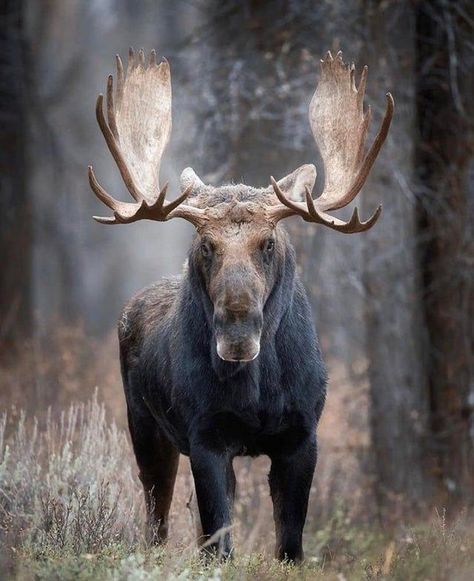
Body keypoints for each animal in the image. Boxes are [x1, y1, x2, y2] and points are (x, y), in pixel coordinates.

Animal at [88, 47, 392, 560]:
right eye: (205, 245)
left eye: (268, 242)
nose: (237, 331)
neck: (257, 391)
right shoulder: (205, 436)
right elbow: (219, 543)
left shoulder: (302, 435)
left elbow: (289, 543)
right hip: (144, 427)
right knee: (157, 517)